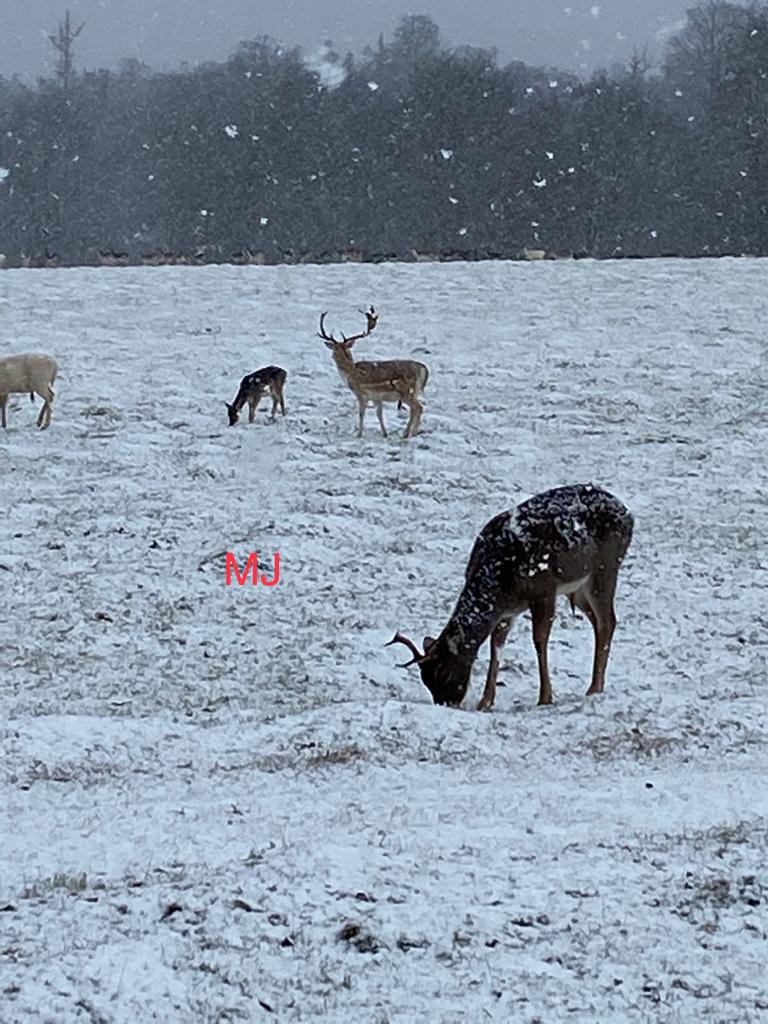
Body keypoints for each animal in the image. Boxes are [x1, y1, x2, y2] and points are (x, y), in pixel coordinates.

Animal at [318, 307, 429, 440]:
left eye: (335, 349)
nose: (333, 356)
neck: (350, 373)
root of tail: (423, 369)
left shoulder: (361, 394)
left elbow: (361, 413)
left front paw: (359, 434)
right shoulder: (376, 397)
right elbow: (379, 414)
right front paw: (384, 434)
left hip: (407, 391)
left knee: (418, 408)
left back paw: (406, 434)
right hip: (414, 392)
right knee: (416, 409)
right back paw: (413, 433)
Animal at [387, 483, 634, 710]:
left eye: (444, 671)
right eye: (425, 679)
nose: (446, 702)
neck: (498, 583)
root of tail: (628, 514)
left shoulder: (544, 590)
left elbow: (539, 640)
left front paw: (545, 698)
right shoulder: (508, 610)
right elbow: (496, 645)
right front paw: (485, 701)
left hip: (605, 568)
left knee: (607, 621)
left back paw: (595, 688)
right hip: (579, 589)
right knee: (598, 623)